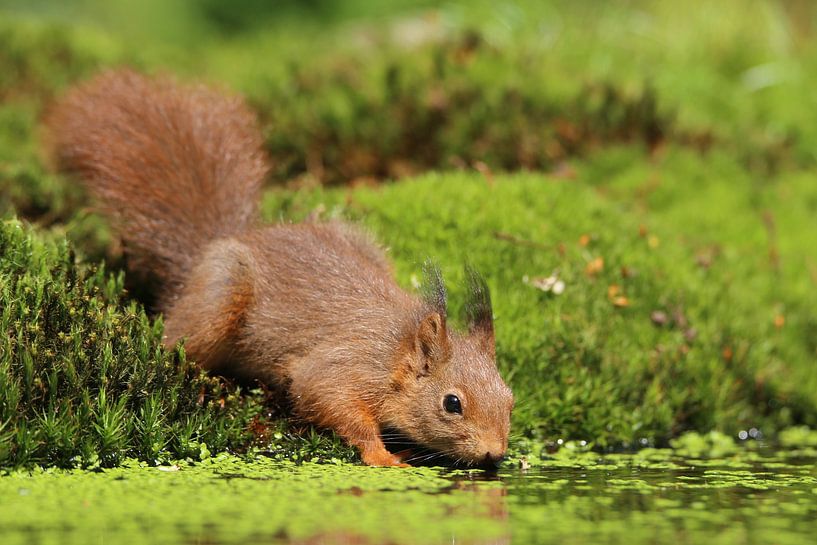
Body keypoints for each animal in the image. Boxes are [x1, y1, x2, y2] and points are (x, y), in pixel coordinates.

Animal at [45, 69, 513, 467]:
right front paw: (382, 455)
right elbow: (330, 401)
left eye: (510, 398)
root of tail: (218, 244)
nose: (494, 455)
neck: (397, 347)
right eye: (452, 403)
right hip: (221, 297)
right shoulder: (343, 368)